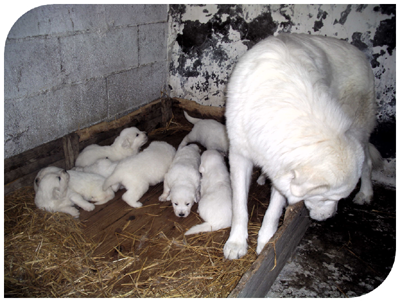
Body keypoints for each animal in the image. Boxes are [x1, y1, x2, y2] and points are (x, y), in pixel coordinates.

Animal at [222, 33, 382, 260]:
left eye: (340, 198)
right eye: (326, 198)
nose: (329, 217)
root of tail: (361, 53)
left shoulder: (282, 171)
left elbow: (273, 212)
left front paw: (266, 243)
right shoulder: (239, 154)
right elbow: (239, 206)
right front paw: (236, 243)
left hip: (359, 129)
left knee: (367, 163)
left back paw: (365, 194)